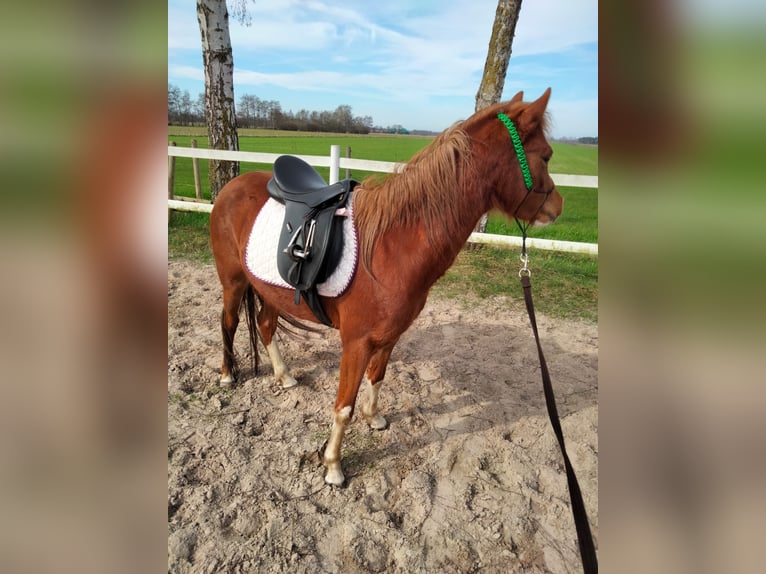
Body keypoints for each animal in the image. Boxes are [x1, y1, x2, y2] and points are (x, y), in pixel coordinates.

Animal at [210, 89, 564, 486]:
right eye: (546, 155)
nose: (558, 206)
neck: (392, 245)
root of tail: (232, 186)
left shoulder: (390, 336)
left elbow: (376, 378)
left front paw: (374, 417)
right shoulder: (356, 342)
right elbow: (343, 406)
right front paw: (333, 466)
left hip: (270, 288)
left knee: (266, 324)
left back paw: (284, 376)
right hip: (233, 281)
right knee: (229, 323)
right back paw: (227, 376)